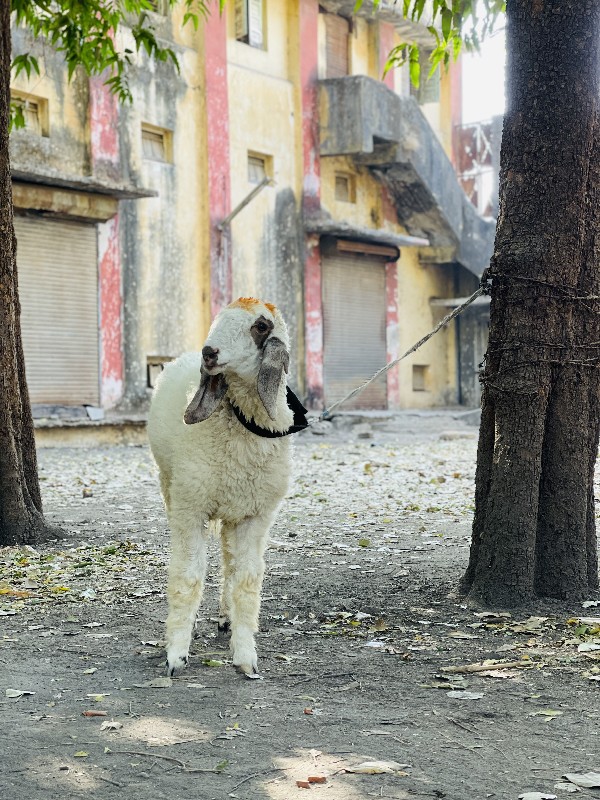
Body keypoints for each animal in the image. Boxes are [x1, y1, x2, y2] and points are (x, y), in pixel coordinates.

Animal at [145, 296, 304, 680]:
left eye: (260, 325)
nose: (209, 353)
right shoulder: (190, 509)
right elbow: (187, 578)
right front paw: (176, 654)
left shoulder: (256, 517)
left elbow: (247, 580)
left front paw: (245, 657)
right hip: (171, 486)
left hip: (234, 510)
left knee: (230, 563)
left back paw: (226, 618)